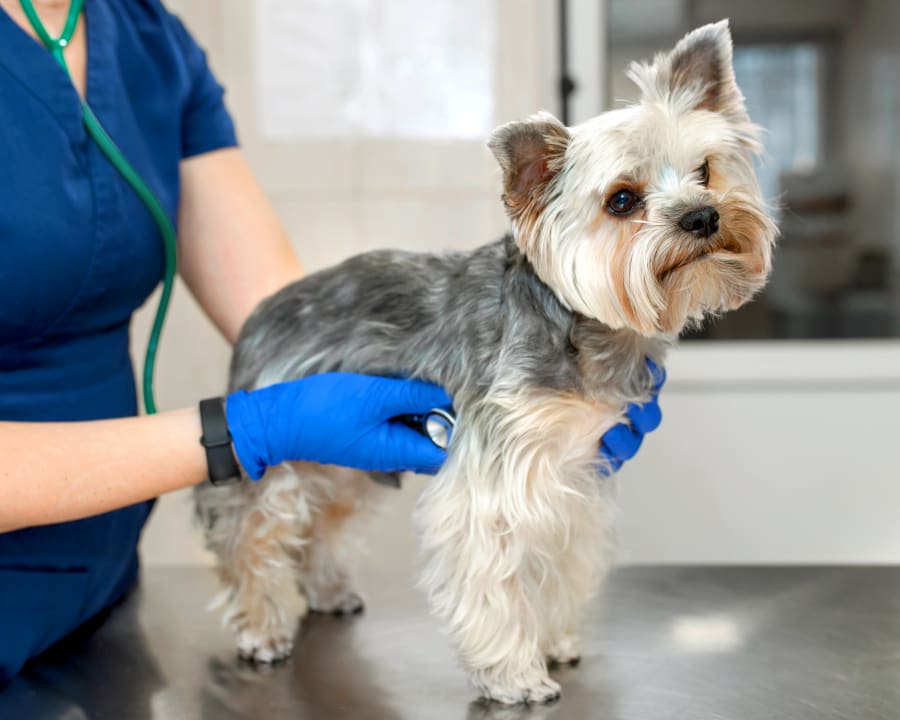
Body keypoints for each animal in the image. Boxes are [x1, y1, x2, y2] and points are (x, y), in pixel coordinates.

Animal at [193, 21, 776, 704]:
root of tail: (260, 314)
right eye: (622, 200)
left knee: (323, 520)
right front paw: (515, 674)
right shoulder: (494, 476)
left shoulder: (574, 471)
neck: (581, 328)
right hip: (280, 444)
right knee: (249, 531)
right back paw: (261, 625)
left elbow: (561, 559)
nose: (703, 215)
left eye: (704, 170)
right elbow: (495, 579)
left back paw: (328, 590)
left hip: (339, 450)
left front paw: (553, 640)